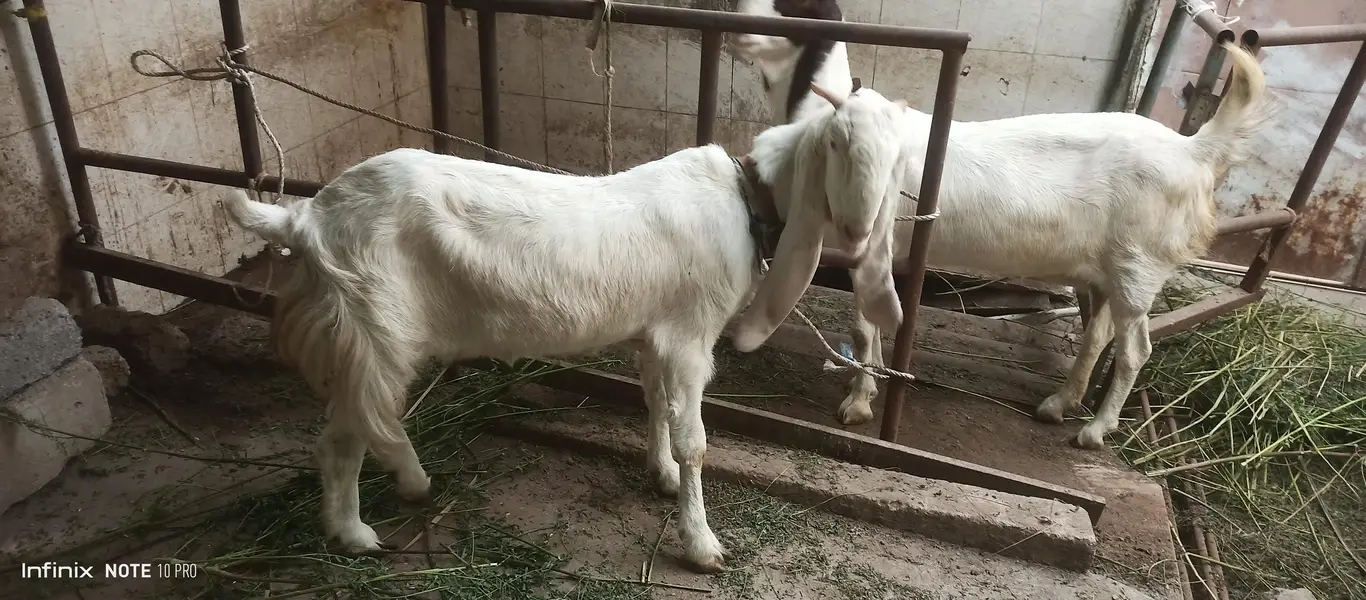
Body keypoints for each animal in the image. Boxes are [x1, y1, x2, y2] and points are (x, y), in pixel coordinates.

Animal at [221, 136, 884, 571]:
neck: (744, 199)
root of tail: (306, 217)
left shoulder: (655, 334)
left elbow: (654, 403)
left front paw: (662, 473)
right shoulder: (689, 336)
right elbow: (695, 439)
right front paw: (701, 544)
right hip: (376, 329)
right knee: (350, 431)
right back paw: (363, 526)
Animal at [742, 42, 1272, 449]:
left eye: (895, 159)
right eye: (836, 143)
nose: (859, 225)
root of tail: (1192, 150)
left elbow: (864, 325)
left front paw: (857, 402)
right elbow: (867, 324)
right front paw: (866, 392)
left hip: (1138, 265)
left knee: (1135, 350)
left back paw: (1095, 430)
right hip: (1107, 270)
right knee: (1098, 335)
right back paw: (1059, 404)